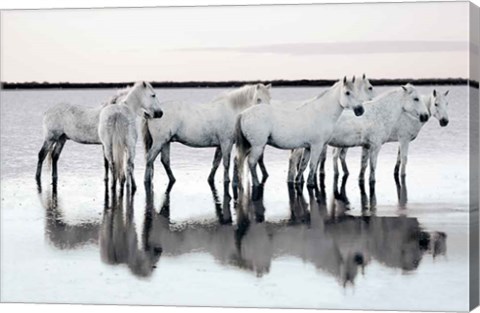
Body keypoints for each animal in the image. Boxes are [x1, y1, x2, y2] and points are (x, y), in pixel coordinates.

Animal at [34, 82, 164, 185]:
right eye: (153, 95)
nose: (160, 113)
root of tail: (47, 111)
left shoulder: (105, 145)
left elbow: (107, 163)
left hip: (62, 139)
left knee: (55, 156)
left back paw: (54, 177)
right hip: (50, 138)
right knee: (42, 155)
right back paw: (37, 177)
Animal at [141, 83, 272, 188]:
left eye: (269, 99)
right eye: (258, 99)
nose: (265, 112)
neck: (232, 111)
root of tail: (153, 113)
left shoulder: (220, 144)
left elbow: (216, 162)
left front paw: (211, 179)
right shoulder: (226, 142)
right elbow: (226, 162)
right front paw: (226, 180)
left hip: (166, 142)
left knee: (165, 161)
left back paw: (172, 179)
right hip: (159, 142)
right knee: (149, 158)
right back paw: (146, 181)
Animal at [236, 77, 364, 188]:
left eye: (357, 91)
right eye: (347, 92)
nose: (360, 110)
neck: (321, 112)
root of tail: (243, 114)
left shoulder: (307, 147)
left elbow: (303, 165)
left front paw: (298, 181)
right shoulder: (316, 146)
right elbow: (312, 166)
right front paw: (311, 184)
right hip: (257, 146)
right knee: (251, 162)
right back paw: (256, 184)